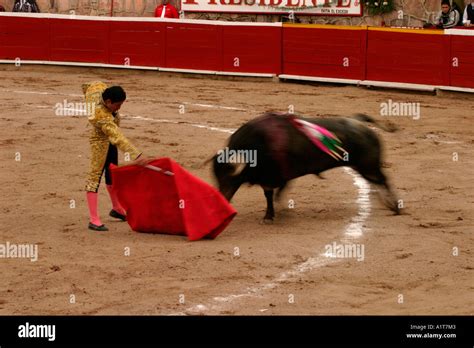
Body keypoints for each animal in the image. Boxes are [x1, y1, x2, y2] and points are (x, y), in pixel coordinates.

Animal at [211, 113, 400, 222]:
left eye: (228, 177)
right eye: (216, 177)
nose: (222, 199)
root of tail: (358, 123)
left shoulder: (272, 176)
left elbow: (271, 194)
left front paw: (269, 216)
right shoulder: (274, 176)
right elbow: (274, 194)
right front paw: (276, 211)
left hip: (368, 165)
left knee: (383, 180)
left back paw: (395, 207)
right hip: (362, 166)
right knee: (376, 182)